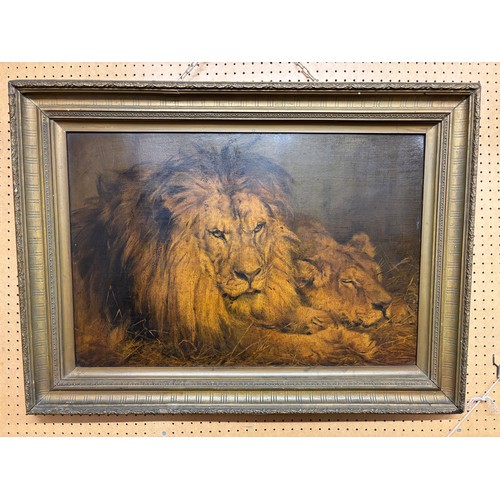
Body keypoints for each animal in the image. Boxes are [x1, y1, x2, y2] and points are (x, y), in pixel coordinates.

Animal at [72, 143, 376, 366]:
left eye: (258, 227)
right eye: (217, 234)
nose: (250, 274)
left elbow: (284, 312)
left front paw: (322, 320)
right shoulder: (191, 335)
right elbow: (272, 339)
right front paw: (339, 341)